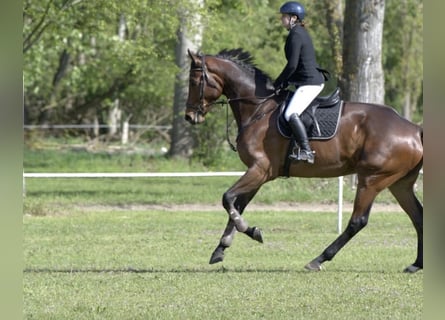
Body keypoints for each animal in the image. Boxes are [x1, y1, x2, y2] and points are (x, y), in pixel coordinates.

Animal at [184, 48, 424, 272]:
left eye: (194, 82)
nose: (189, 116)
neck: (258, 109)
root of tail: (413, 128)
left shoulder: (259, 169)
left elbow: (227, 199)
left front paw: (250, 231)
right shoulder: (259, 174)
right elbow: (237, 204)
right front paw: (221, 248)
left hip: (372, 180)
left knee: (358, 221)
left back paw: (318, 259)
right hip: (399, 183)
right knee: (418, 216)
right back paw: (416, 264)